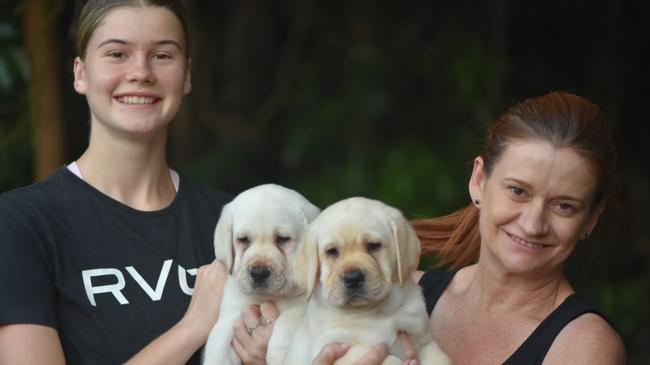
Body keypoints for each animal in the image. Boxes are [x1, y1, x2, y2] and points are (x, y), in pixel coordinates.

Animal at [200, 183, 316, 364]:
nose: (259, 273)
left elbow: (293, 315)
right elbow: (218, 350)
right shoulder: (230, 316)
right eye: (243, 239)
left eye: (283, 239)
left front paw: (278, 353)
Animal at [280, 196, 448, 364]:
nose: (353, 278)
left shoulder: (424, 341)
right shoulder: (337, 347)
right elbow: (388, 359)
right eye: (332, 252)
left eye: (373, 245)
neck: (375, 312)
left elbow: (440, 358)